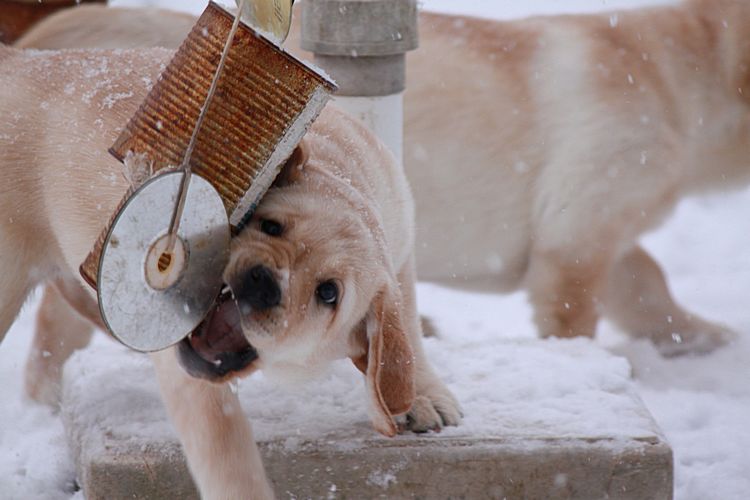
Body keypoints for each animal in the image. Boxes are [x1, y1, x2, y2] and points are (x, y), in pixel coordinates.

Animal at [1, 36, 460, 500]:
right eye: (271, 225)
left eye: (328, 293)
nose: (263, 281)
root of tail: (18, 59)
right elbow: (226, 449)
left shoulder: (400, 249)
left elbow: (404, 329)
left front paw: (419, 396)